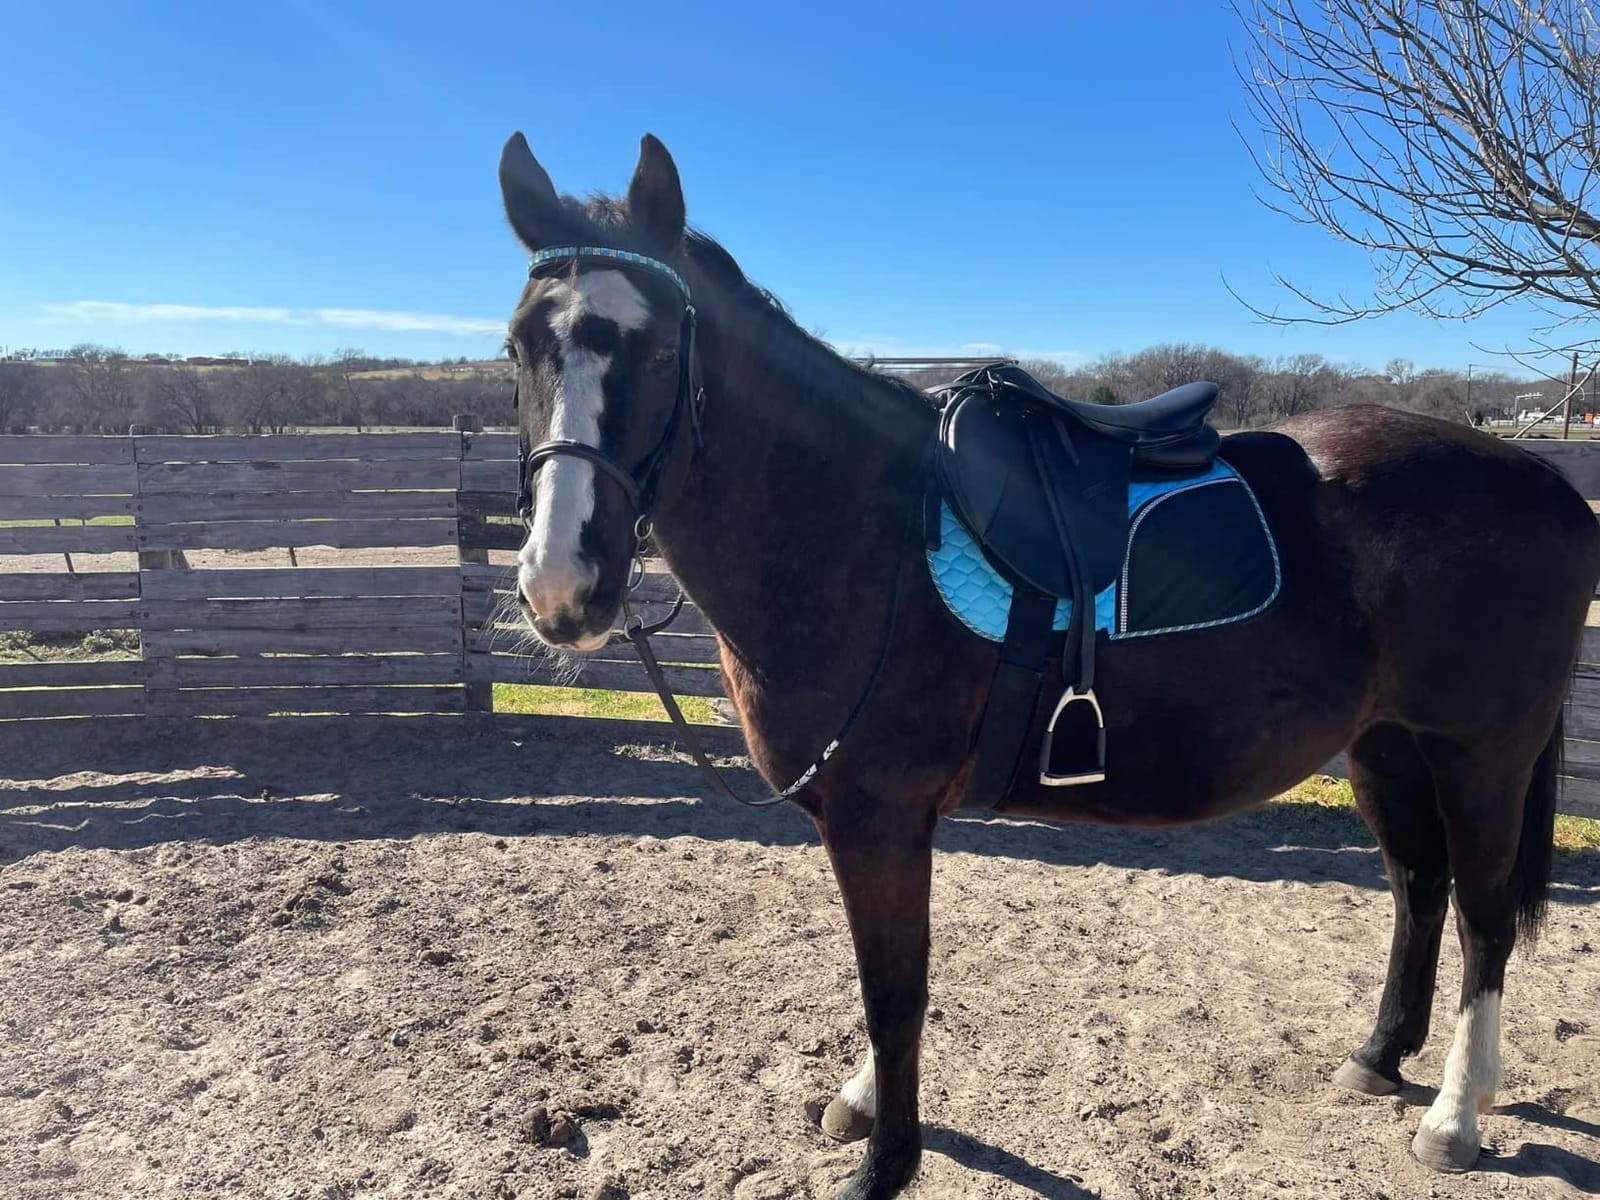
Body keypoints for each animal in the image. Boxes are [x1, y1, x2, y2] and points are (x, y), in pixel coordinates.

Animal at [494, 130, 1600, 1199]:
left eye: (650, 347)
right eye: (517, 347)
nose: (562, 588)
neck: (860, 528)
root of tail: (1547, 484)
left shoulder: (879, 815)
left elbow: (894, 990)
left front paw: (885, 1165)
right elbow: (884, 982)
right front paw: (863, 1103)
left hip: (1480, 753)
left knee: (1483, 916)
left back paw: (1454, 1117)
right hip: (1386, 746)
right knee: (1419, 890)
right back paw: (1378, 1058)